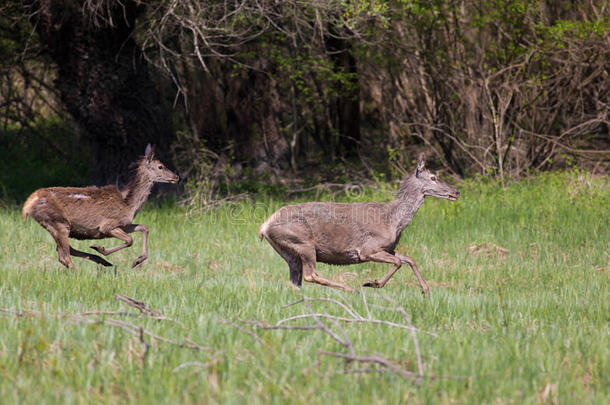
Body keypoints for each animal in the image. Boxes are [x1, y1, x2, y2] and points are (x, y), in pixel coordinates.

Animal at [22, 144, 178, 268]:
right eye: (160, 166)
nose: (176, 177)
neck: (129, 205)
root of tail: (28, 204)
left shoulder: (124, 224)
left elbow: (144, 227)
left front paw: (138, 260)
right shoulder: (107, 225)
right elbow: (130, 240)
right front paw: (102, 249)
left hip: (58, 226)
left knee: (65, 252)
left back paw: (101, 261)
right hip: (58, 222)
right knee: (64, 256)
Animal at [258, 153, 458, 296]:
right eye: (433, 177)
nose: (456, 192)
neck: (393, 220)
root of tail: (264, 226)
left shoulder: (388, 247)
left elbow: (409, 259)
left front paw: (426, 290)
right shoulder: (368, 249)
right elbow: (399, 262)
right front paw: (373, 283)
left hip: (288, 250)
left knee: (295, 281)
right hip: (302, 241)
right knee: (310, 275)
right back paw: (351, 289)